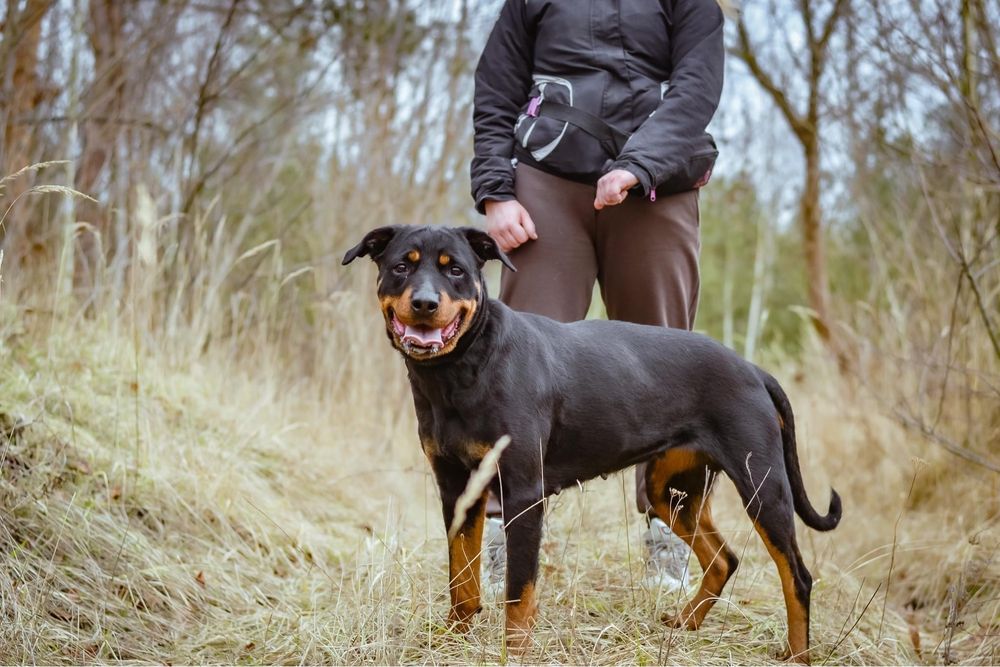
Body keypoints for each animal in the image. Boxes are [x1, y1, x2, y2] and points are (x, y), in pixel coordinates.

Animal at [344, 223, 844, 664]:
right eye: (401, 267)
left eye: (456, 271)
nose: (425, 303)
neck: (464, 368)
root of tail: (753, 370)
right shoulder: (457, 489)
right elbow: (461, 579)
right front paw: (452, 639)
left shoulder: (524, 493)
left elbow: (519, 592)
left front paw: (514, 653)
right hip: (672, 490)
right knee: (723, 560)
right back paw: (685, 624)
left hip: (762, 486)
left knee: (797, 575)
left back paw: (798, 654)